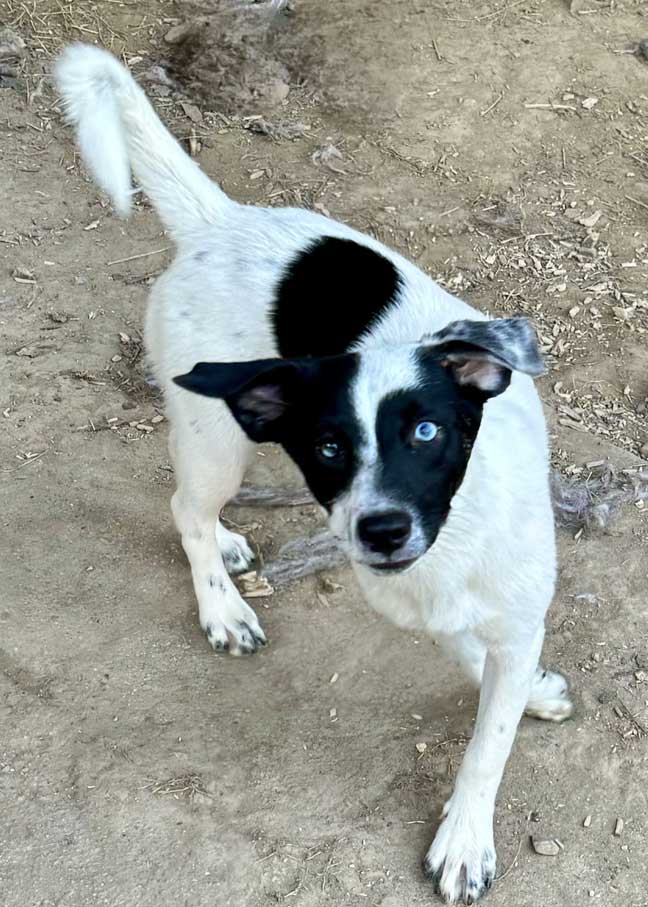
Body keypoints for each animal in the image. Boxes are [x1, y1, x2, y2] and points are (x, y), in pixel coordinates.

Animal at [55, 44, 572, 907]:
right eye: (329, 447)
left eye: (426, 431)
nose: (381, 529)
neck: (451, 540)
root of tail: (222, 219)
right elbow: (481, 708)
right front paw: (467, 840)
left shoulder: (503, 608)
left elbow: (489, 703)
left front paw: (521, 699)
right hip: (214, 437)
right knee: (184, 507)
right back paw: (222, 604)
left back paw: (231, 548)